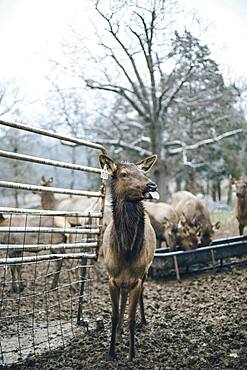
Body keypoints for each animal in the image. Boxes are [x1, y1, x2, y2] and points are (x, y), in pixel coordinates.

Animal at [100, 153, 158, 362]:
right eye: (123, 174)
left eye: (143, 172)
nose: (152, 185)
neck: (125, 251)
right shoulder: (111, 278)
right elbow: (115, 315)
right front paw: (111, 352)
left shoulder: (137, 279)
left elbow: (131, 318)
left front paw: (132, 354)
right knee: (123, 300)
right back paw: (119, 332)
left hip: (146, 271)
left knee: (139, 297)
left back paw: (143, 320)